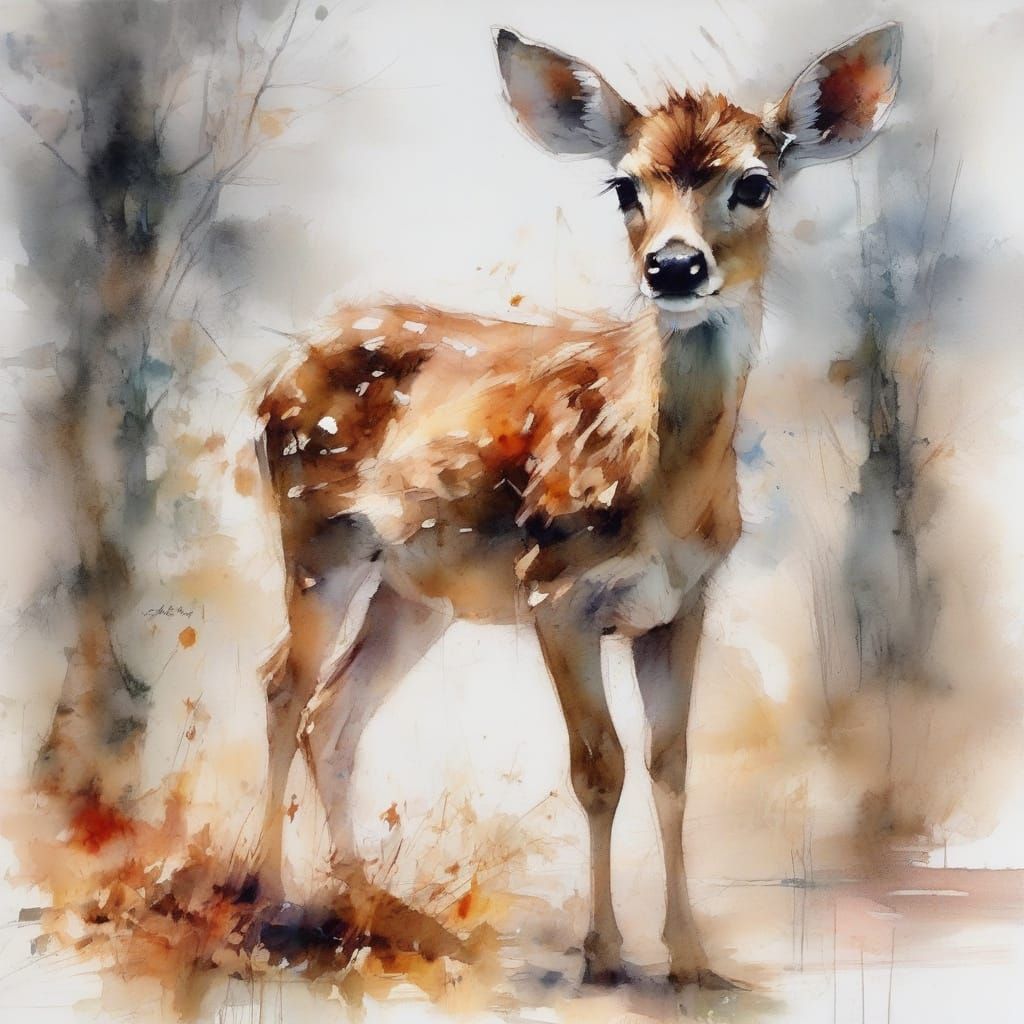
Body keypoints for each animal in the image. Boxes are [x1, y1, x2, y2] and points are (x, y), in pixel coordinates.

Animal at [252, 23, 902, 988]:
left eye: (755, 182)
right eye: (624, 185)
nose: (674, 266)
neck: (662, 495)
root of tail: (279, 375)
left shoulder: (684, 602)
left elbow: (672, 766)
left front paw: (691, 957)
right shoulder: (556, 590)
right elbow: (599, 767)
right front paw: (603, 954)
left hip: (414, 592)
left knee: (334, 714)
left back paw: (371, 906)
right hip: (315, 536)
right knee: (281, 686)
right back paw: (261, 894)